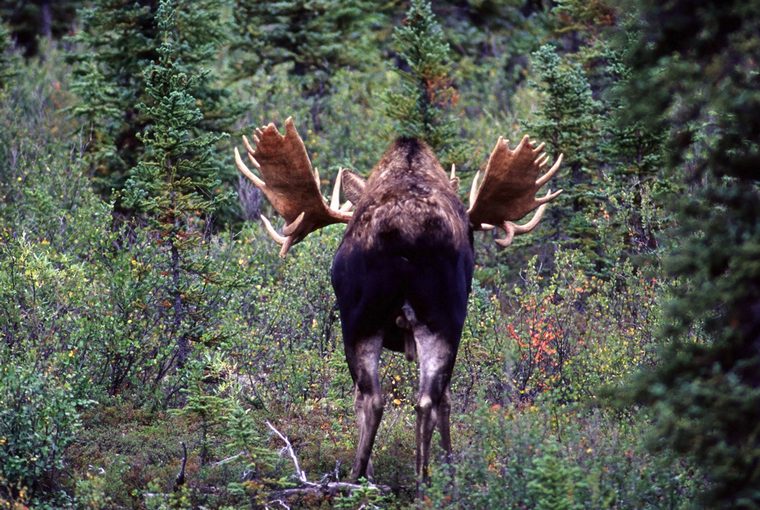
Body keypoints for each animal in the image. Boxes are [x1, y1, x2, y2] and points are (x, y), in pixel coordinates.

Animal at [235, 119, 560, 482]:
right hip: (443, 318)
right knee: (429, 399)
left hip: (360, 320)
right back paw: (427, 477)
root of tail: (407, 230)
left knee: (372, 398)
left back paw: (359, 476)